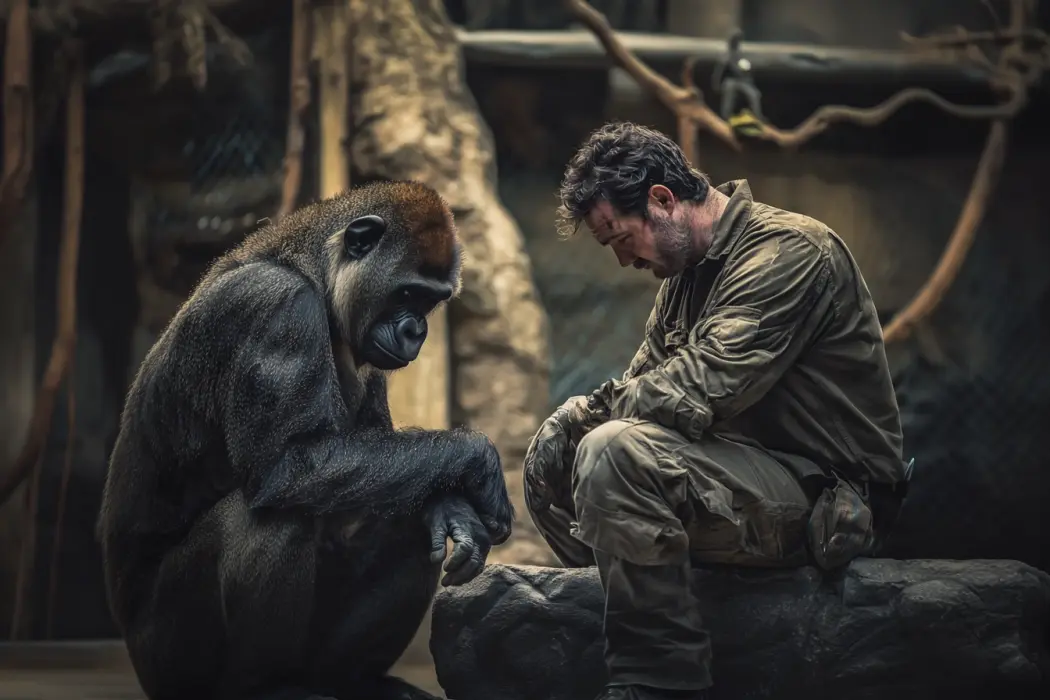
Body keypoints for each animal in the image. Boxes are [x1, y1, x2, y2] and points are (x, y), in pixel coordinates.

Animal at [95, 180, 514, 700]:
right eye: (408, 293)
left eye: (430, 302)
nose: (417, 331)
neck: (314, 268)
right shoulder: (276, 306)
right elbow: (290, 467)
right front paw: (477, 460)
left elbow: (398, 466)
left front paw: (452, 505)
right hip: (163, 663)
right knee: (275, 518)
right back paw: (266, 687)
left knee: (408, 506)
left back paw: (352, 679)